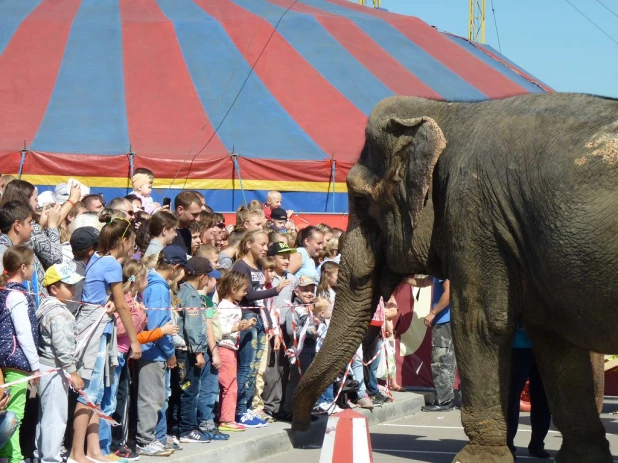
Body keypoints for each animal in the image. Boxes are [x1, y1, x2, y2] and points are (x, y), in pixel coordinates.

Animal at [292, 92, 616, 462]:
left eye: (360, 200)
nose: (302, 427)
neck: (449, 111)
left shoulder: (475, 213)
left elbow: (480, 323)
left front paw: (477, 457)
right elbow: (557, 343)